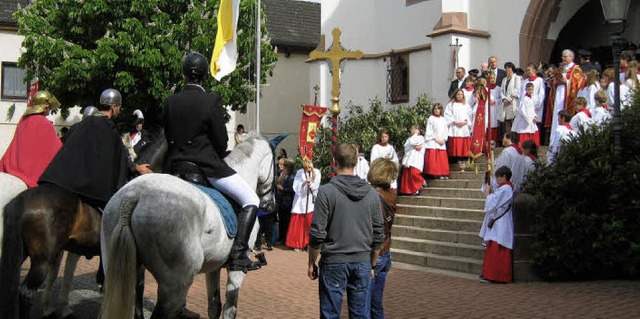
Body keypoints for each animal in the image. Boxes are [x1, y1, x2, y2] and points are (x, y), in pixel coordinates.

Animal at [100, 133, 280, 319]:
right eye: (277, 168)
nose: (270, 206)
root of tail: (134, 195)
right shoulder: (237, 270)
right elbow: (229, 309)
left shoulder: (214, 265)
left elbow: (214, 306)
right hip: (176, 284)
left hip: (124, 270)